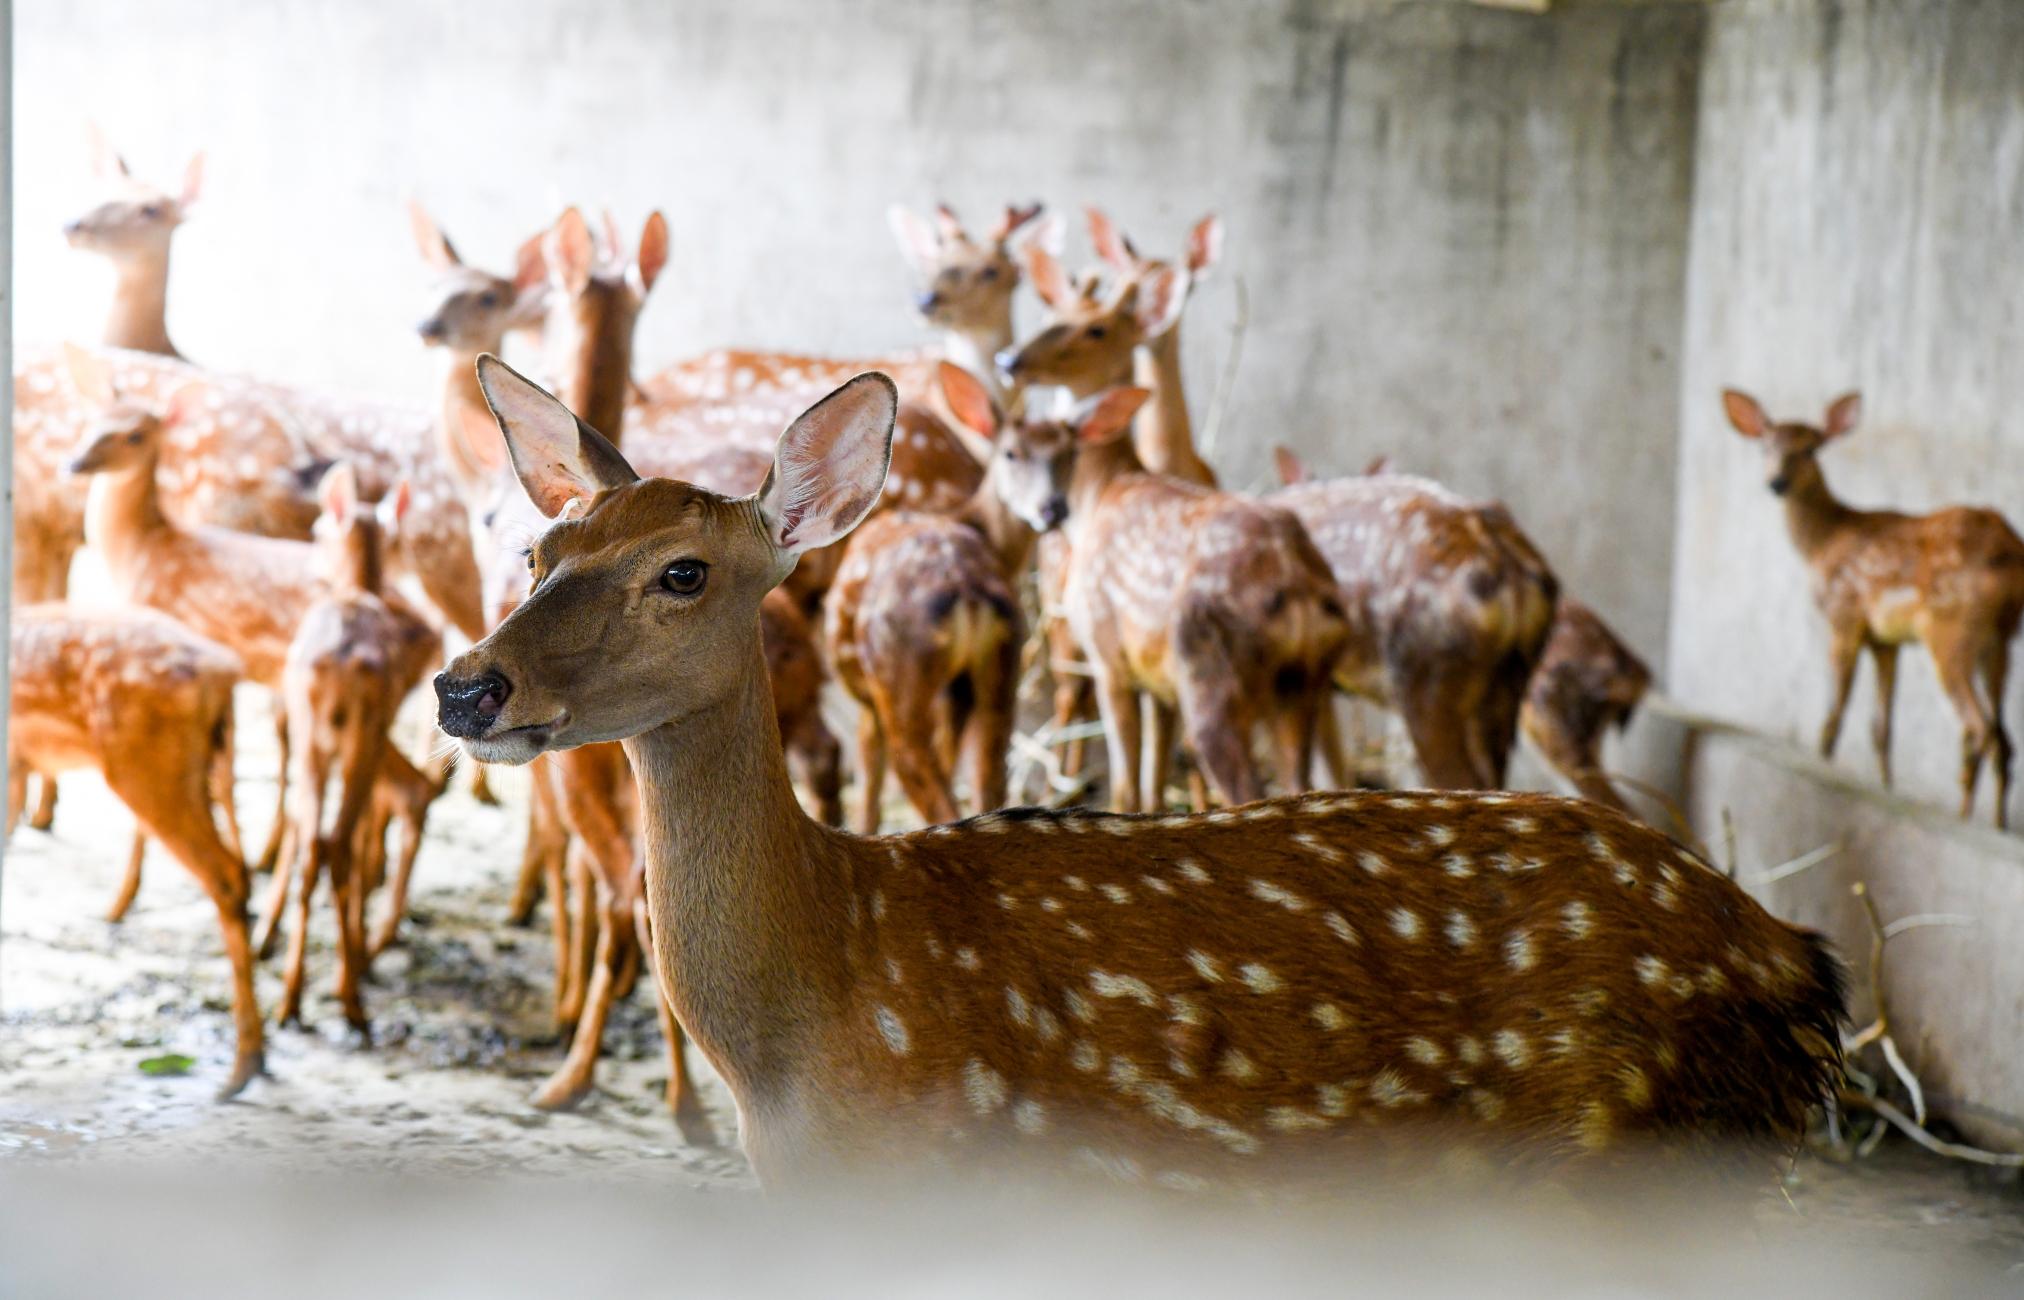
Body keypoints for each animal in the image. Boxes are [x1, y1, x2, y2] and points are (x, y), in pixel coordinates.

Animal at [8, 603, 265, 1085]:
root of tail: (224, 670)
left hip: (144, 764)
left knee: (225, 875)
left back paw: (244, 1064)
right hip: (213, 759)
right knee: (240, 859)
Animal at [817, 364, 1076, 830]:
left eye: (1070, 456)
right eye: (1011, 453)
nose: (1052, 508)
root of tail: (966, 589)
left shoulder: (866, 696)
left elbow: (869, 777)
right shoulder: (960, 692)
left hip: (897, 676)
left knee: (922, 777)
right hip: (1000, 669)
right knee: (987, 781)